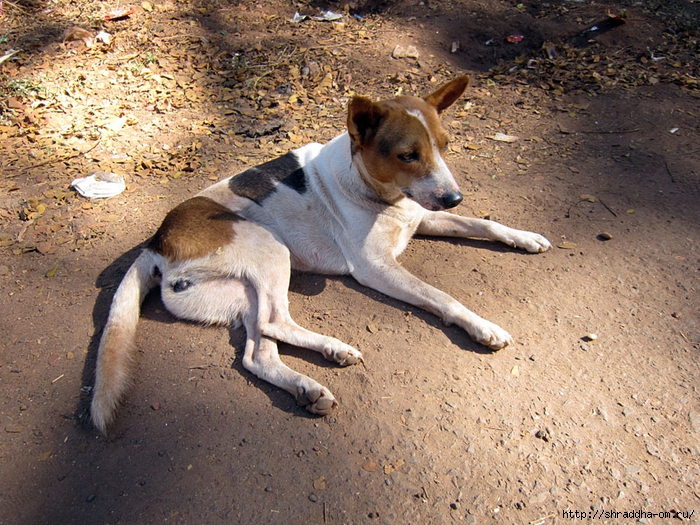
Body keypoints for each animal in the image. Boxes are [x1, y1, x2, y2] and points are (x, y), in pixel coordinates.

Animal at [89, 75, 552, 432]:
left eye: (445, 144)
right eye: (408, 155)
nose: (454, 197)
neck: (377, 190)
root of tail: (156, 240)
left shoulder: (424, 217)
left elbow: (483, 224)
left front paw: (525, 237)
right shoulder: (375, 267)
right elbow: (442, 296)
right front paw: (482, 326)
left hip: (241, 293)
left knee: (258, 353)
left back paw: (308, 386)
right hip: (270, 248)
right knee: (276, 323)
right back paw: (334, 348)